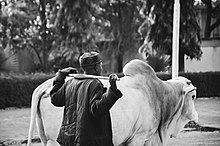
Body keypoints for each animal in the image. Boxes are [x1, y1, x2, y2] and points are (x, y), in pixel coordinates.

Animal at [27, 59, 198, 146]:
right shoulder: (139, 137)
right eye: (194, 96)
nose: (196, 116)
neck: (159, 94)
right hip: (54, 141)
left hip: (45, 139)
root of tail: (43, 87)